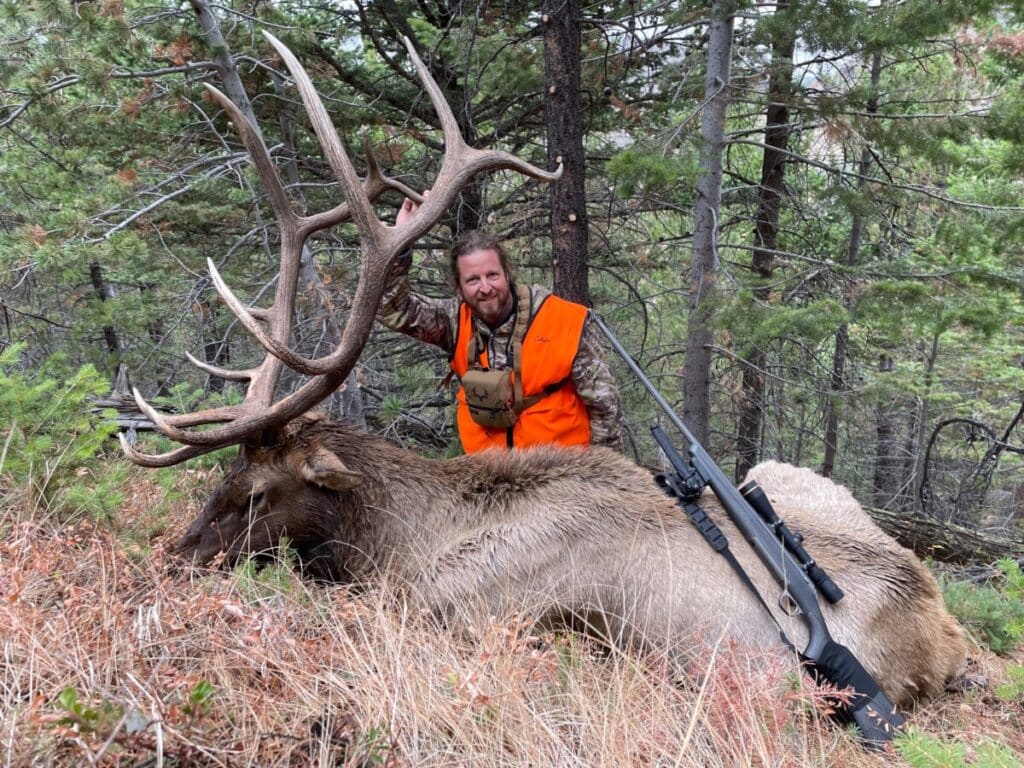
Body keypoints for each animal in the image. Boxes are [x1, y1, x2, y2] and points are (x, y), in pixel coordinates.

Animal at [121, 31, 966, 716]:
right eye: (222, 480)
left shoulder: (465, 609)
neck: (405, 538)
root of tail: (946, 636)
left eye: (256, 495)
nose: (171, 558)